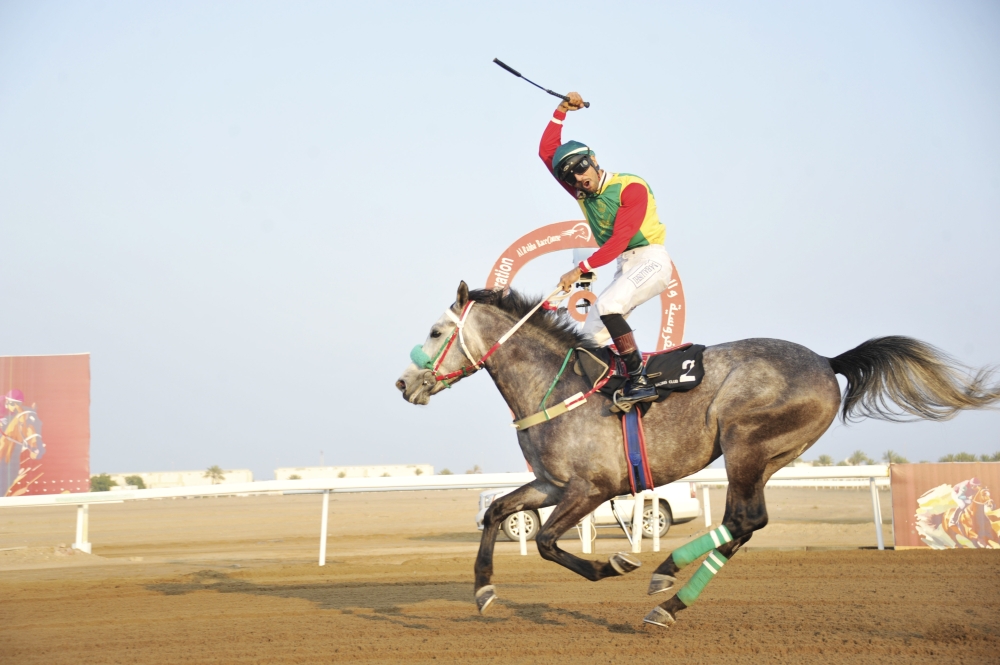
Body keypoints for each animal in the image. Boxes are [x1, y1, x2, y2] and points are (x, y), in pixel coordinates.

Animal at [396, 282, 1000, 627]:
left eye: (436, 331)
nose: (403, 383)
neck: (558, 385)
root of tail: (828, 361)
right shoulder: (551, 484)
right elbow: (498, 512)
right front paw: (483, 591)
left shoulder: (591, 488)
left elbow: (545, 541)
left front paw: (613, 563)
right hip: (767, 455)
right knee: (743, 523)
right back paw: (668, 598)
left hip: (745, 444)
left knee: (746, 519)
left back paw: (665, 579)